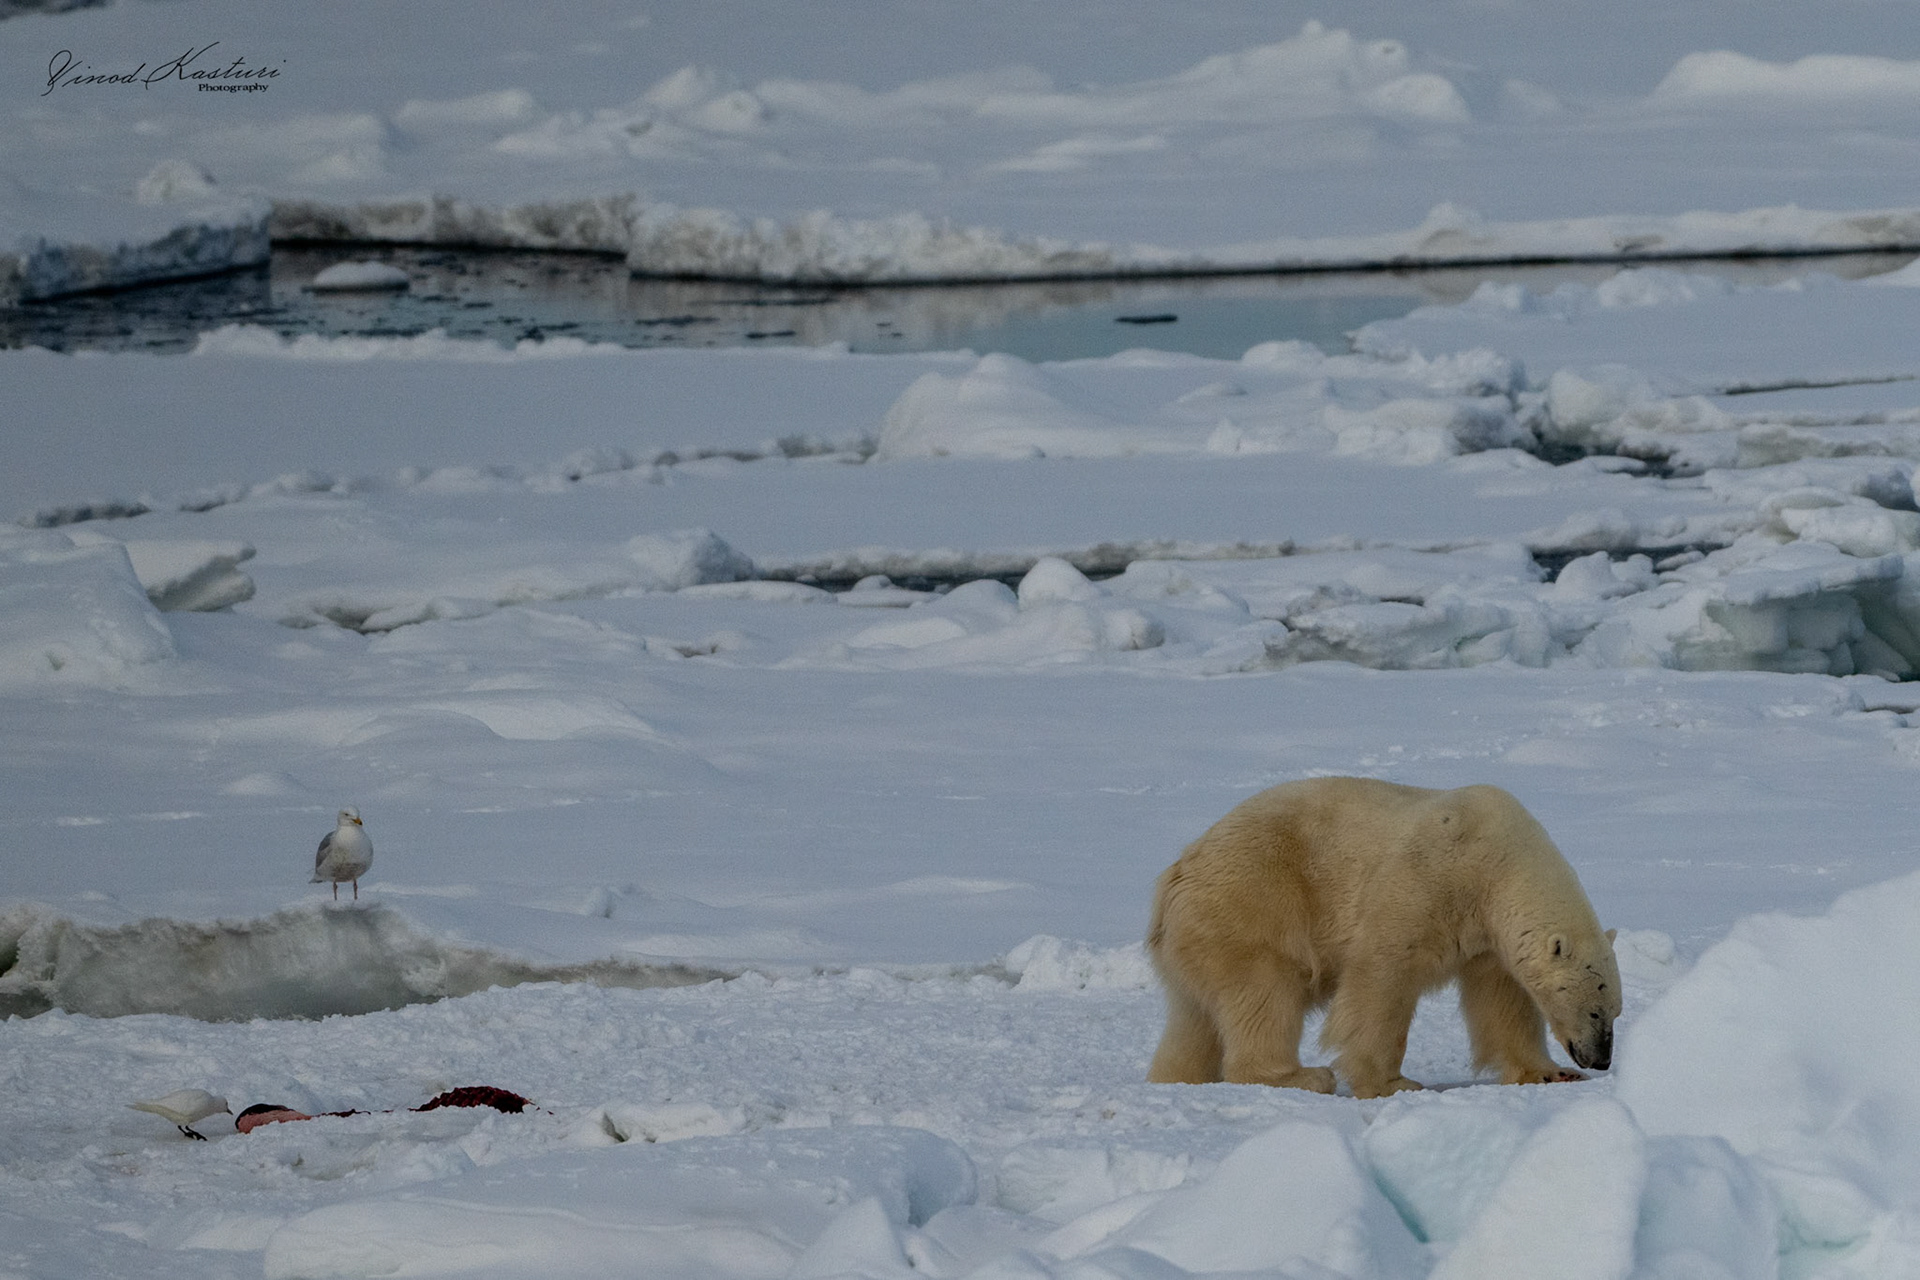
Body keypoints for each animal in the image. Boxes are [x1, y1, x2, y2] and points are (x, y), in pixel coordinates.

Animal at [1146, 776, 1620, 1099]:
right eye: (1596, 1011)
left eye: (1616, 1011)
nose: (1601, 1059)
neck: (1497, 864)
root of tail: (1175, 877)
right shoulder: (1429, 877)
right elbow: (1382, 974)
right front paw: (1392, 1082)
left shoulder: (1488, 937)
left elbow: (1503, 1002)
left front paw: (1552, 1072)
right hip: (1251, 904)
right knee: (1265, 993)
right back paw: (1301, 1076)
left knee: (1195, 1019)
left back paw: (1177, 1077)